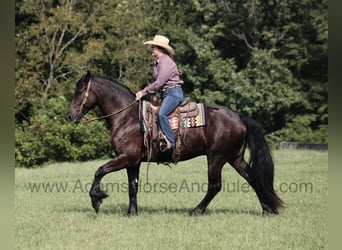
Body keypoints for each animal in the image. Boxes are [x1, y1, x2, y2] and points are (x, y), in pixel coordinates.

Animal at [66, 71, 284, 216]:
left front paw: (96, 199)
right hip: (235, 158)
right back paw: (267, 209)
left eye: (80, 91)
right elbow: (132, 186)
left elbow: (99, 171)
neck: (127, 117)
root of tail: (238, 116)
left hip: (216, 158)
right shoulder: (133, 161)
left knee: (215, 186)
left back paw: (196, 211)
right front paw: (131, 212)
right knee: (253, 178)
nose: (69, 116)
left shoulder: (126, 157)